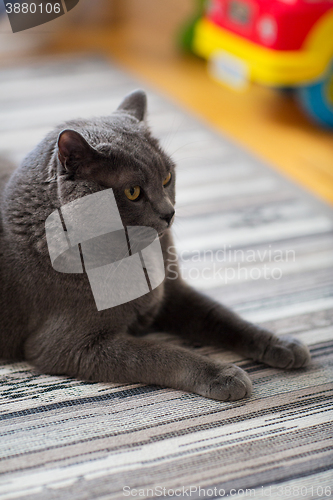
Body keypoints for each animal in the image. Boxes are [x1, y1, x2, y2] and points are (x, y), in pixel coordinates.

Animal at [0, 91, 310, 402]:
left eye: (167, 178)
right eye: (132, 192)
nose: (168, 212)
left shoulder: (170, 291)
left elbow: (222, 317)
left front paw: (282, 344)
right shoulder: (67, 346)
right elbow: (157, 354)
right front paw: (223, 375)